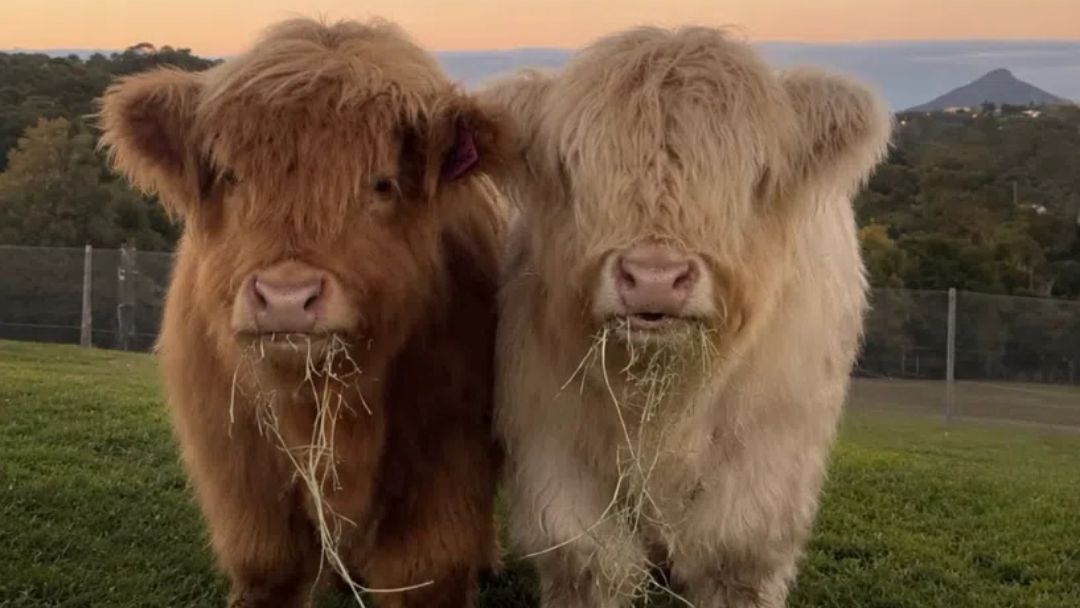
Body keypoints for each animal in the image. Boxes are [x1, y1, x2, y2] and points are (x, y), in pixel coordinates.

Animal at [98, 17, 508, 608]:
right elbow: (273, 570)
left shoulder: (448, 460)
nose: (286, 297)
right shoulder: (240, 471)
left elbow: (425, 573)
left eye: (381, 183)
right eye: (231, 176)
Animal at [479, 26, 892, 607]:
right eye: (572, 165)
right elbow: (590, 564)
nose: (655, 277)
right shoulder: (555, 451)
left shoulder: (767, 465)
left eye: (757, 173)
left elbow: (731, 559)